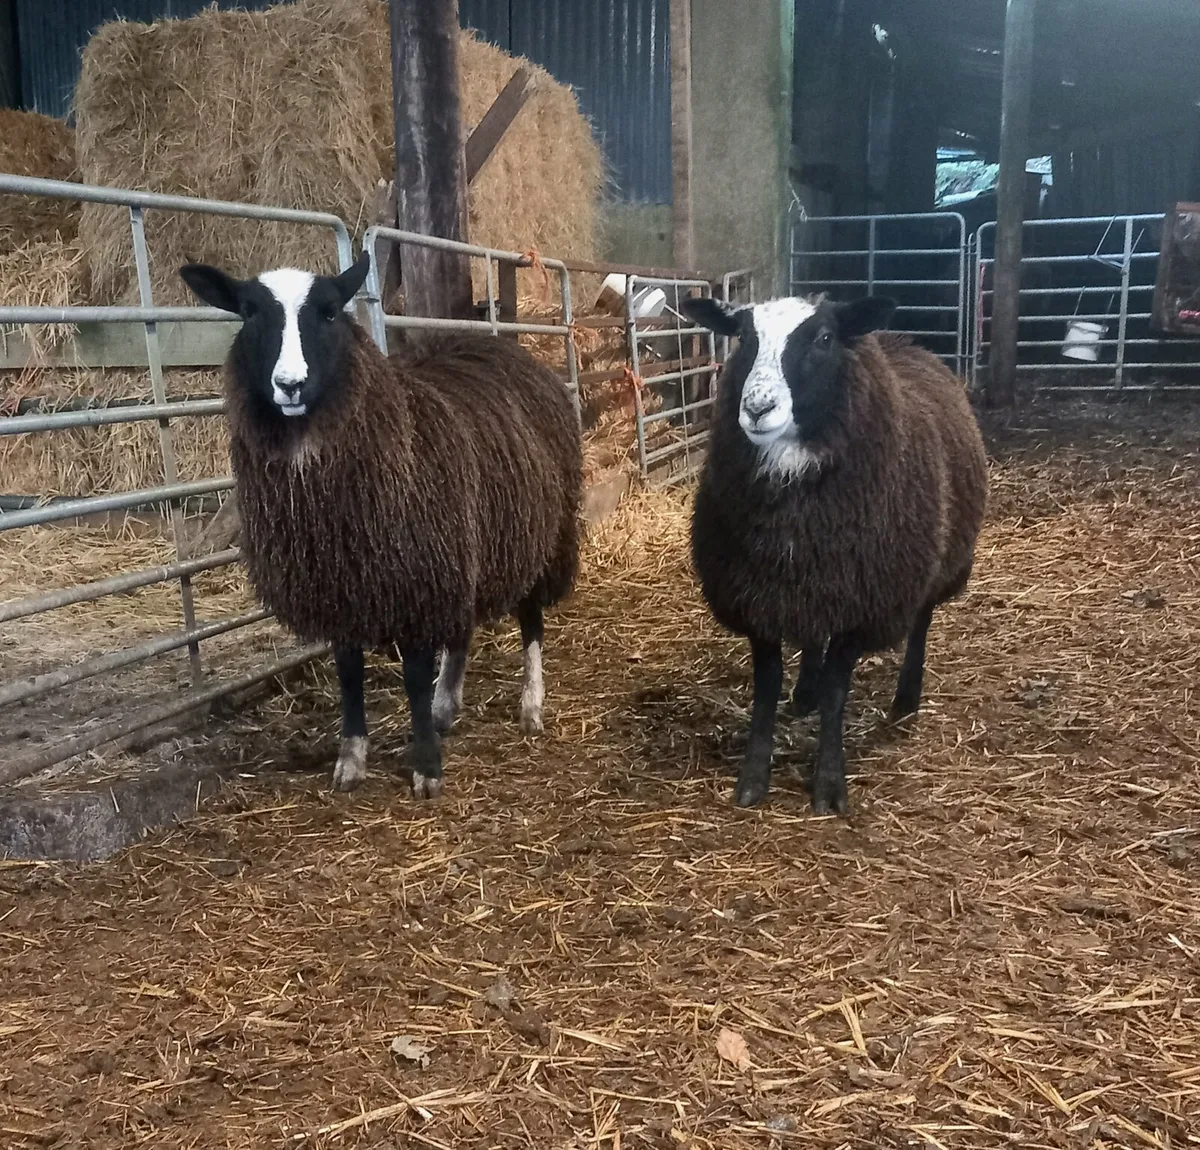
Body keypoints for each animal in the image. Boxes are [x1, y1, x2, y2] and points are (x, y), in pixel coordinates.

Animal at [179, 252, 582, 798]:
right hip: (466, 547)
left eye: (329, 311)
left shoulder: (414, 581)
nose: (290, 385)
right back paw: (446, 704)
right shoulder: (341, 588)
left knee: (531, 620)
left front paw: (427, 768)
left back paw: (530, 705)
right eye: (248, 312)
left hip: (540, 535)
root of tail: (504, 346)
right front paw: (351, 759)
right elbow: (349, 674)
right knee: (462, 627)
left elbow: (412, 676)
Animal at [680, 293, 988, 816]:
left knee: (920, 624)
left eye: (824, 338)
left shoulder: (862, 603)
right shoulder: (759, 596)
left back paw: (906, 700)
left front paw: (828, 783)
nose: (757, 408)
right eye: (743, 337)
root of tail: (896, 339)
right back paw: (804, 692)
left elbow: (837, 690)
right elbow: (767, 685)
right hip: (817, 584)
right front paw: (753, 779)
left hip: (931, 565)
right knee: (811, 636)